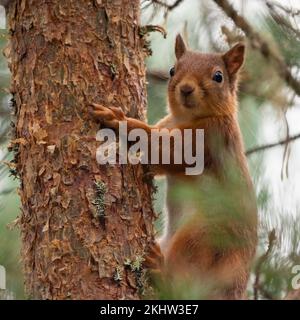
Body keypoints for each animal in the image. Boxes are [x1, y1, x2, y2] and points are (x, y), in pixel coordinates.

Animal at [90, 35, 256, 300]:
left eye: (218, 76)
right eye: (172, 70)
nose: (186, 88)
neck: (186, 119)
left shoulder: (206, 140)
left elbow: (160, 146)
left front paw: (120, 119)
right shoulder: (168, 125)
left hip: (199, 239)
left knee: (181, 285)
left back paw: (160, 269)